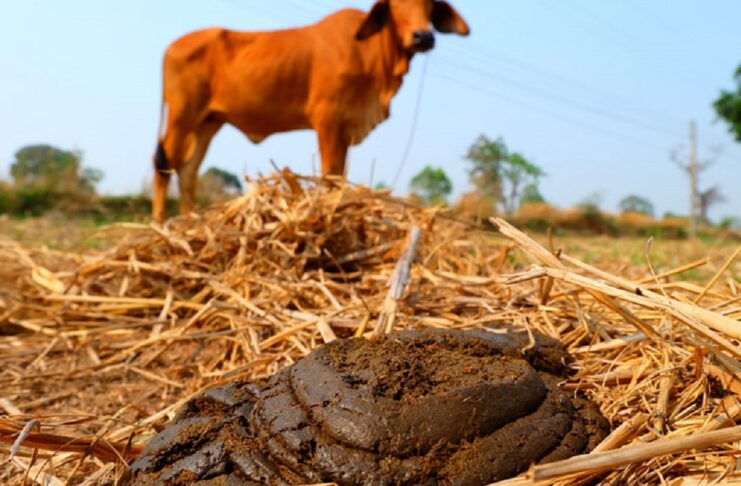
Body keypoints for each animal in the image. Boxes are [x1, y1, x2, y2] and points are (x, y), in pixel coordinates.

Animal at [150, 0, 468, 223]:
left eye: (429, 4)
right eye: (396, 5)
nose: (423, 36)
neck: (373, 57)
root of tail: (171, 46)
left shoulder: (345, 129)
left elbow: (339, 177)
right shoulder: (327, 121)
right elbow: (329, 176)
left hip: (208, 122)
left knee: (187, 170)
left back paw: (189, 222)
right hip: (182, 116)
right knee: (164, 164)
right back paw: (159, 224)